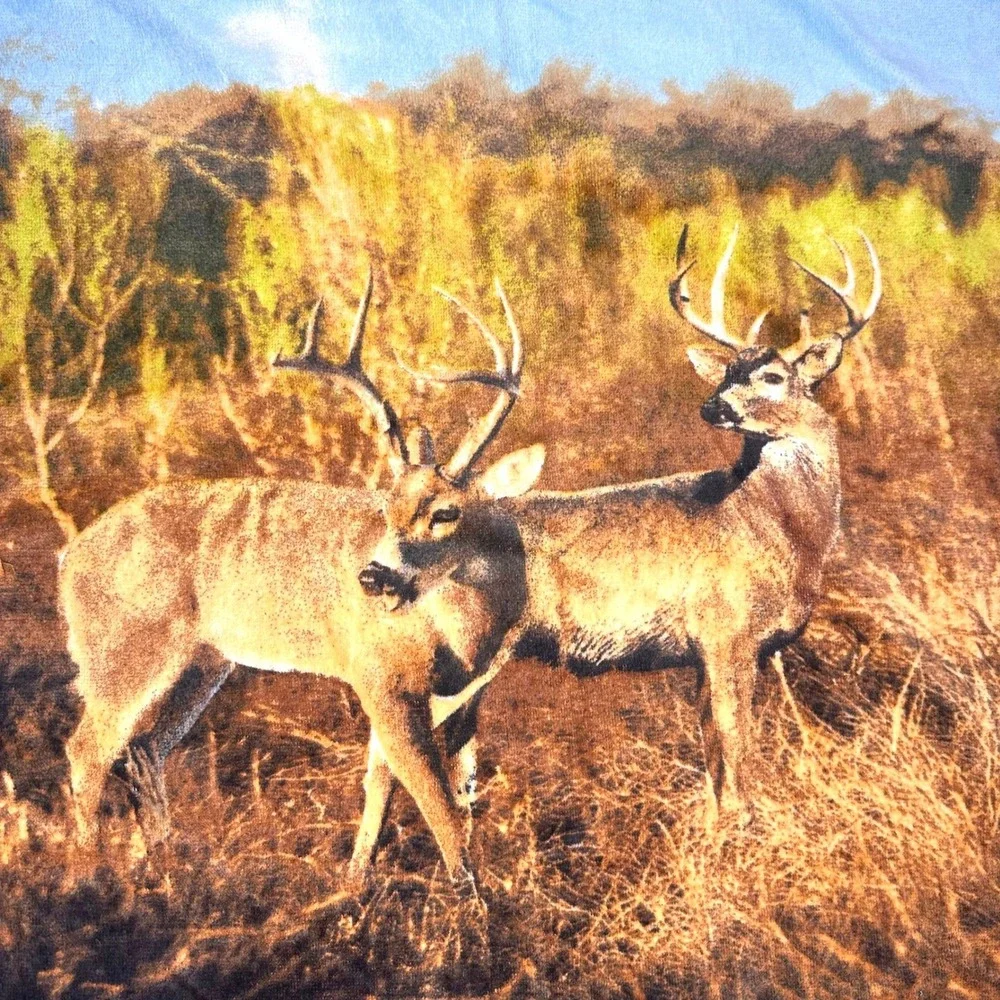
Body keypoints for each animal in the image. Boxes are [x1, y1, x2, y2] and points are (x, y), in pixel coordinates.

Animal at [59, 271, 545, 895]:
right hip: (124, 649)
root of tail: (68, 558)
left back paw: (164, 868)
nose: (370, 577)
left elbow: (402, 787)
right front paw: (474, 904)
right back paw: (89, 875)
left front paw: (356, 881)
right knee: (88, 748)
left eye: (446, 513)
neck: (462, 630)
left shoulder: (466, 691)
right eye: (386, 507)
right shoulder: (376, 673)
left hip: (202, 662)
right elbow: (435, 802)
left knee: (142, 750)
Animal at [360, 224, 881, 828]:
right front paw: (744, 833)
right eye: (728, 373)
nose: (712, 408)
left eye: (772, 376)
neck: (777, 524)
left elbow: (714, 762)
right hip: (464, 657)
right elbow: (738, 754)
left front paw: (713, 833)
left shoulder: (704, 653)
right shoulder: (728, 633)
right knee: (388, 752)